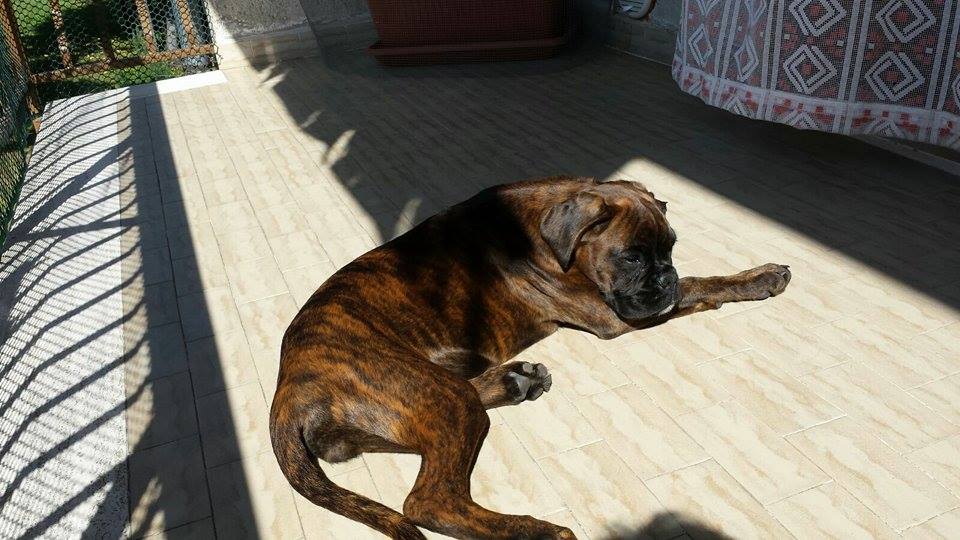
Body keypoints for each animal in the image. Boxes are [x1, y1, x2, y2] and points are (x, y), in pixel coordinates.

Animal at [270, 176, 790, 539]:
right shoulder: (611, 315)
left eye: (671, 247)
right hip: (438, 397)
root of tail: (288, 385)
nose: (665, 276)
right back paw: (540, 529)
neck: (545, 231)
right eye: (631, 257)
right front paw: (758, 278)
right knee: (429, 503)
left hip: (426, 400)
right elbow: (699, 286)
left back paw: (514, 381)